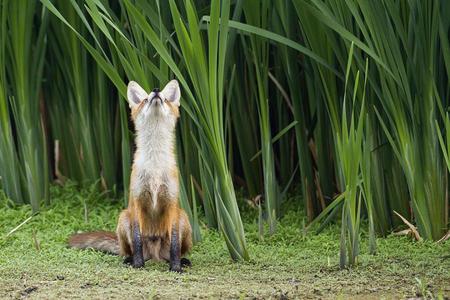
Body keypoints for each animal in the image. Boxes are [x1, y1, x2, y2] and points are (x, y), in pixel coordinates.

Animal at [68, 79, 192, 272]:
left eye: (164, 99)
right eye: (145, 100)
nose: (156, 90)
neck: (154, 165)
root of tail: (155, 254)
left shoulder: (172, 204)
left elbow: (174, 245)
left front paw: (176, 267)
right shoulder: (137, 203)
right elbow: (137, 239)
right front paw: (138, 265)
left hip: (184, 218)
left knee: (174, 250)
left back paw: (182, 260)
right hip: (123, 218)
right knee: (129, 250)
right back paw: (130, 260)